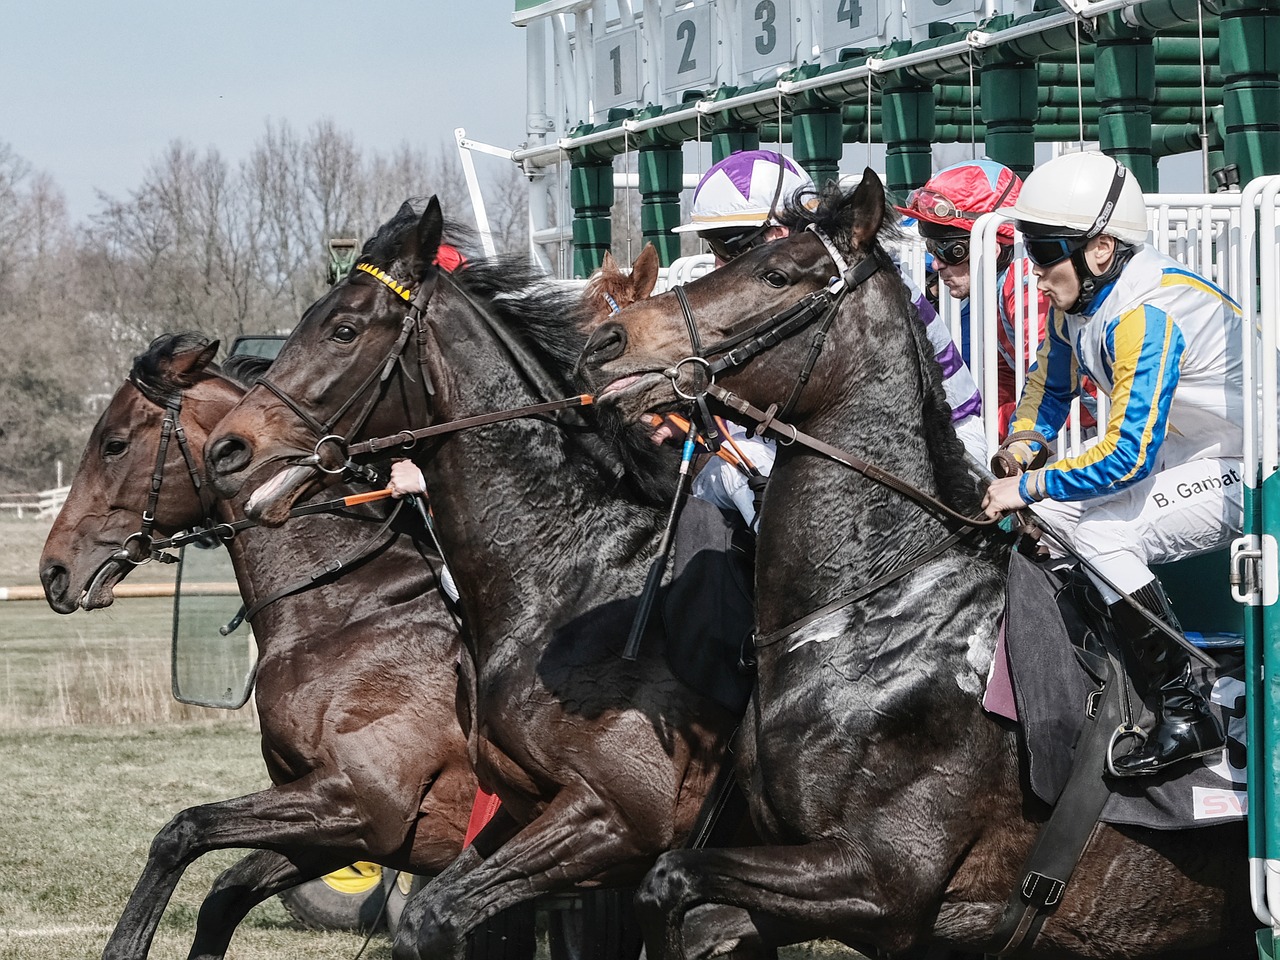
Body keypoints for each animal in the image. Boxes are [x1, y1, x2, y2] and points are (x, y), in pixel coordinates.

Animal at [42, 335, 481, 960]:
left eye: (114, 444)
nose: (53, 571)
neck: (350, 607)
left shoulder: (363, 805)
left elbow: (181, 832)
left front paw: (124, 947)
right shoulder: (337, 828)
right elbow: (223, 893)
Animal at [578, 172, 1249, 960]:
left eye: (775, 273)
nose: (606, 341)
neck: (871, 611)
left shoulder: (882, 883)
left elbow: (670, 876)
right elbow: (686, 904)